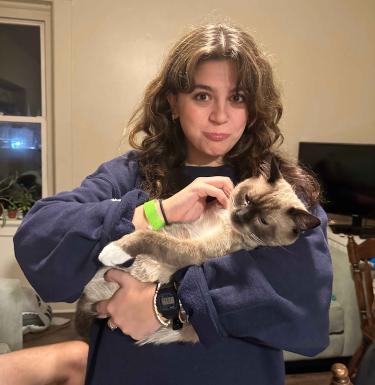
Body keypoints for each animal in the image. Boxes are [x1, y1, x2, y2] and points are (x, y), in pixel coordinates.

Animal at [75, 158, 320, 344]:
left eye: (263, 221)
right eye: (247, 199)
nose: (240, 215)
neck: (225, 219)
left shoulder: (191, 250)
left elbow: (150, 237)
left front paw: (113, 250)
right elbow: (153, 211)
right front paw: (121, 207)